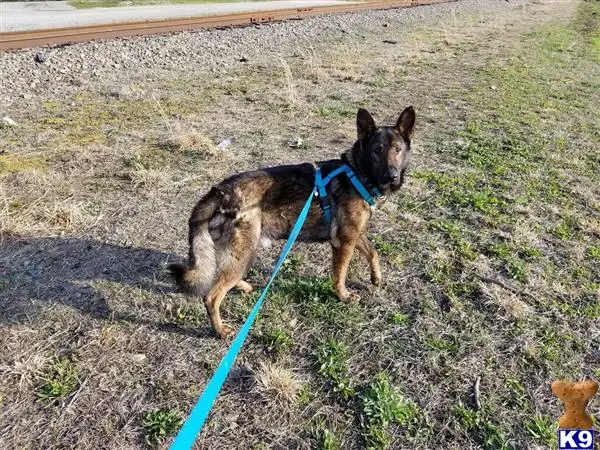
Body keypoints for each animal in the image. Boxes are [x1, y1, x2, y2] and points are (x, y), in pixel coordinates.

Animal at [166, 106, 414, 338]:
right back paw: (220, 330)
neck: (356, 172)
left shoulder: (354, 234)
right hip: (245, 250)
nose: (392, 176)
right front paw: (343, 296)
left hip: (241, 250)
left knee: (224, 276)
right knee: (212, 295)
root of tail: (220, 192)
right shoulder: (344, 242)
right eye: (376, 150)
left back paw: (242, 287)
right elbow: (340, 274)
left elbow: (373, 253)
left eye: (397, 149)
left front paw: (376, 278)